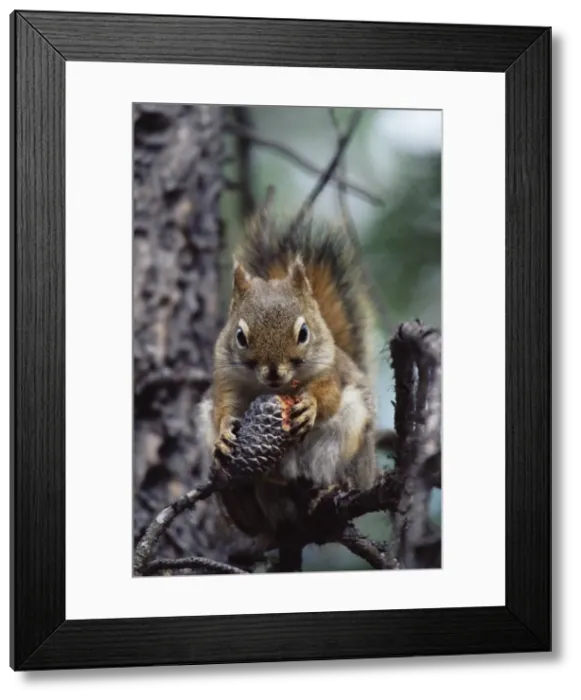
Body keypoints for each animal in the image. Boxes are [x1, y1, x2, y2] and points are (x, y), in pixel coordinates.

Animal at [196, 214, 381, 549]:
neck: (278, 389)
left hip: (347, 444)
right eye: (240, 336)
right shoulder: (226, 380)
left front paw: (309, 406)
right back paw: (242, 498)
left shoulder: (330, 373)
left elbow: (328, 396)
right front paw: (226, 433)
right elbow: (223, 410)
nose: (273, 372)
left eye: (303, 333)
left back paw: (333, 488)